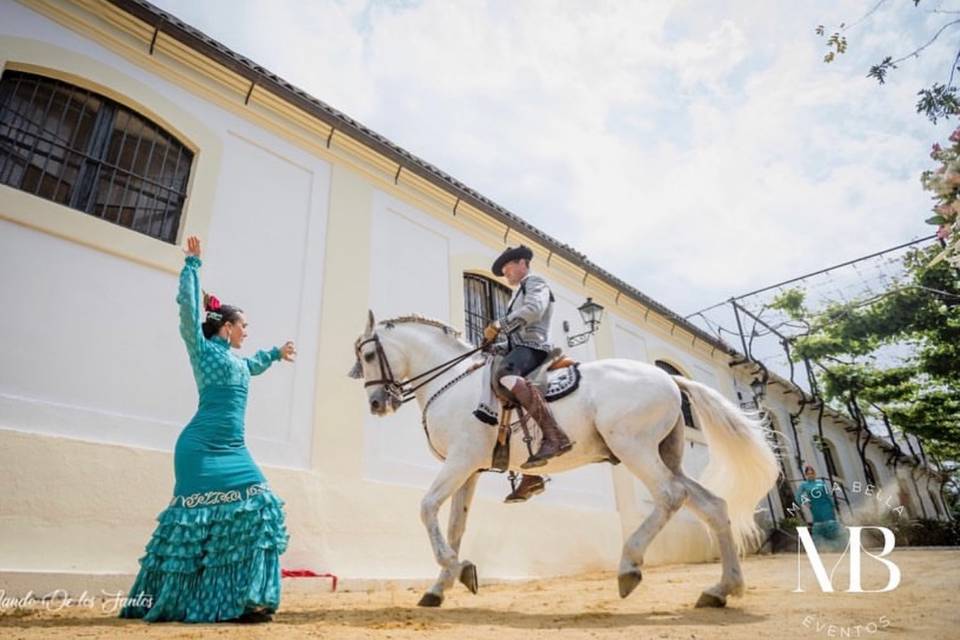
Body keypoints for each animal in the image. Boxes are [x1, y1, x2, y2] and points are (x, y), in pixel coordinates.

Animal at [348, 316, 776, 608]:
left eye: (368, 355)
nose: (377, 404)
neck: (452, 382)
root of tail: (671, 379)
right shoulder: (469, 470)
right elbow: (455, 525)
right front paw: (442, 585)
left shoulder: (460, 460)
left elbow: (426, 508)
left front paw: (455, 569)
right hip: (665, 454)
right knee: (712, 506)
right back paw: (722, 589)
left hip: (633, 448)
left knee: (670, 496)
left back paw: (629, 566)